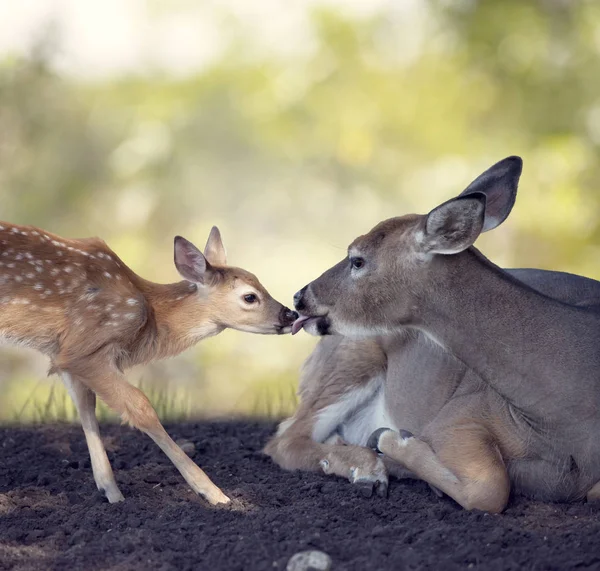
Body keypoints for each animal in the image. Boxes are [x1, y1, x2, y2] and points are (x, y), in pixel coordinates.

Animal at [0, 223, 298, 504]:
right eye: (250, 296)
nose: (290, 314)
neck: (150, 315)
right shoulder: (86, 347)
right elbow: (141, 408)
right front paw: (213, 493)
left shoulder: (64, 353)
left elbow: (86, 408)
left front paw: (112, 494)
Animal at [268, 158, 600, 512]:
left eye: (357, 260)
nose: (300, 296)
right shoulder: (458, 416)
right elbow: (491, 489)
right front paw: (392, 442)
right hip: (351, 357)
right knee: (286, 438)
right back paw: (370, 470)